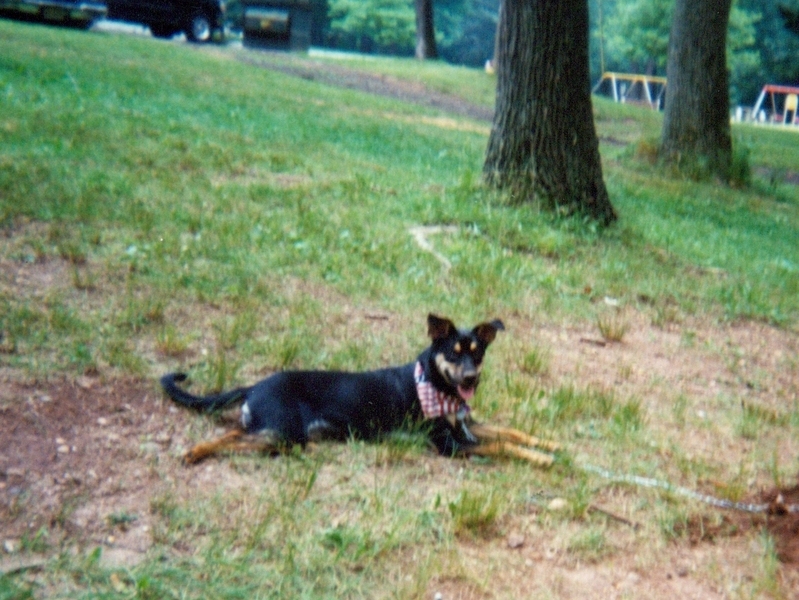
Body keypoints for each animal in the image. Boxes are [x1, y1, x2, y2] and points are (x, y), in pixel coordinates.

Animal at [159, 316, 560, 466]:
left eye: (477, 353)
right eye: (453, 354)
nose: (471, 380)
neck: (436, 385)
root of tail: (254, 386)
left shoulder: (466, 425)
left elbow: (510, 431)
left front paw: (548, 443)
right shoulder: (450, 444)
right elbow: (503, 446)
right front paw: (541, 458)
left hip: (283, 436)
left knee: (238, 435)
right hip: (283, 431)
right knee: (233, 437)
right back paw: (195, 452)